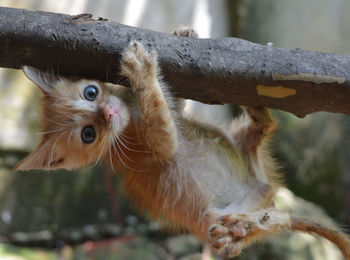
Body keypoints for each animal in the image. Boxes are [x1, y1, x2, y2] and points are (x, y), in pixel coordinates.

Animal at [15, 30, 348, 258]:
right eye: (88, 134)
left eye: (91, 92)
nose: (107, 113)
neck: (126, 120)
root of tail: (259, 188)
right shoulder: (154, 145)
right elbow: (160, 113)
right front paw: (141, 70)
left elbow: (174, 104)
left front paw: (183, 34)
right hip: (213, 219)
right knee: (261, 222)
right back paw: (246, 227)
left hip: (247, 155)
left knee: (267, 143)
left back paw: (256, 114)